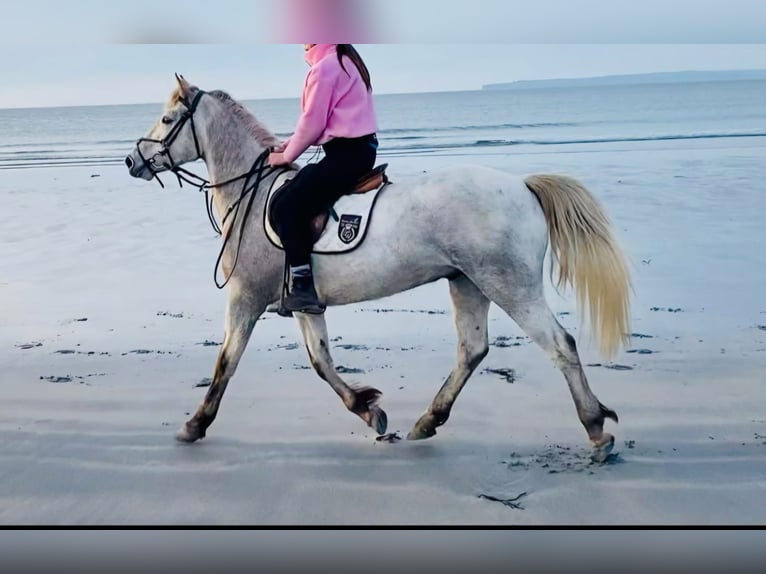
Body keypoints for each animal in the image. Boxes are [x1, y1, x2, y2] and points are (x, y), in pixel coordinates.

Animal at [125, 75, 632, 462]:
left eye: (167, 120)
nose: (132, 160)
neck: (255, 193)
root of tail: (524, 187)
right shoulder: (305, 303)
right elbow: (321, 361)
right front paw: (369, 411)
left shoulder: (244, 298)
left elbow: (225, 362)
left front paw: (194, 425)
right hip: (467, 283)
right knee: (472, 350)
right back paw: (427, 421)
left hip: (509, 285)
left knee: (560, 345)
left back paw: (595, 428)